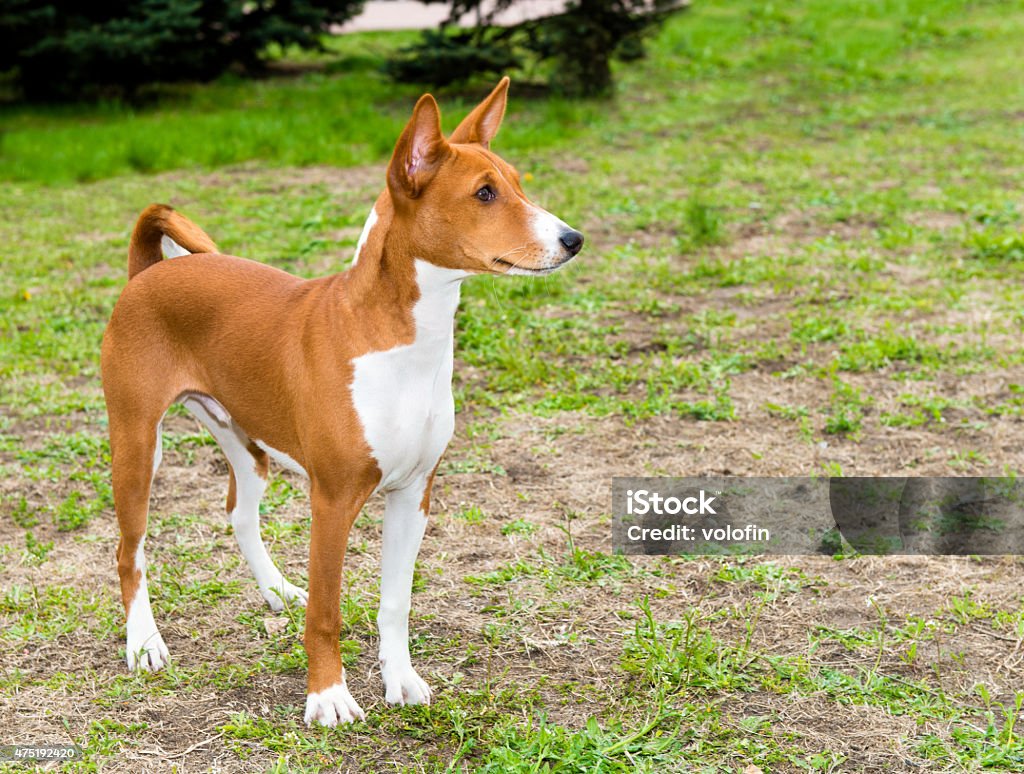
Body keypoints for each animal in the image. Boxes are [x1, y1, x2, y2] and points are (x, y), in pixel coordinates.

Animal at [104, 78, 589, 724]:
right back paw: (144, 643)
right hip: (137, 446)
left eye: (518, 182)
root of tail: (146, 274)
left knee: (238, 511)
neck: (402, 342)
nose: (573, 239)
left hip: (246, 440)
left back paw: (277, 589)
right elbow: (327, 612)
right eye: (484, 194)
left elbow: (395, 604)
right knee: (129, 550)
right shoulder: (332, 500)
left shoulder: (414, 494)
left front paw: (400, 680)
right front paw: (328, 695)